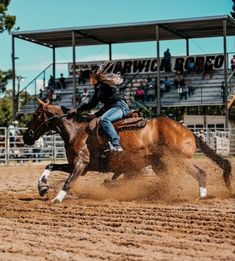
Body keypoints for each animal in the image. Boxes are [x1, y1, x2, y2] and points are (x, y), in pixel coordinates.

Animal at [23, 98, 231, 202]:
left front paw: (56, 199)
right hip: (161, 165)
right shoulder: (79, 165)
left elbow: (68, 182)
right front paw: (42, 187)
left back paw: (201, 197)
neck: (77, 130)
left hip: (178, 160)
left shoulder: (81, 164)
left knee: (201, 173)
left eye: (36, 114)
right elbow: (50, 165)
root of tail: (188, 131)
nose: (26, 137)